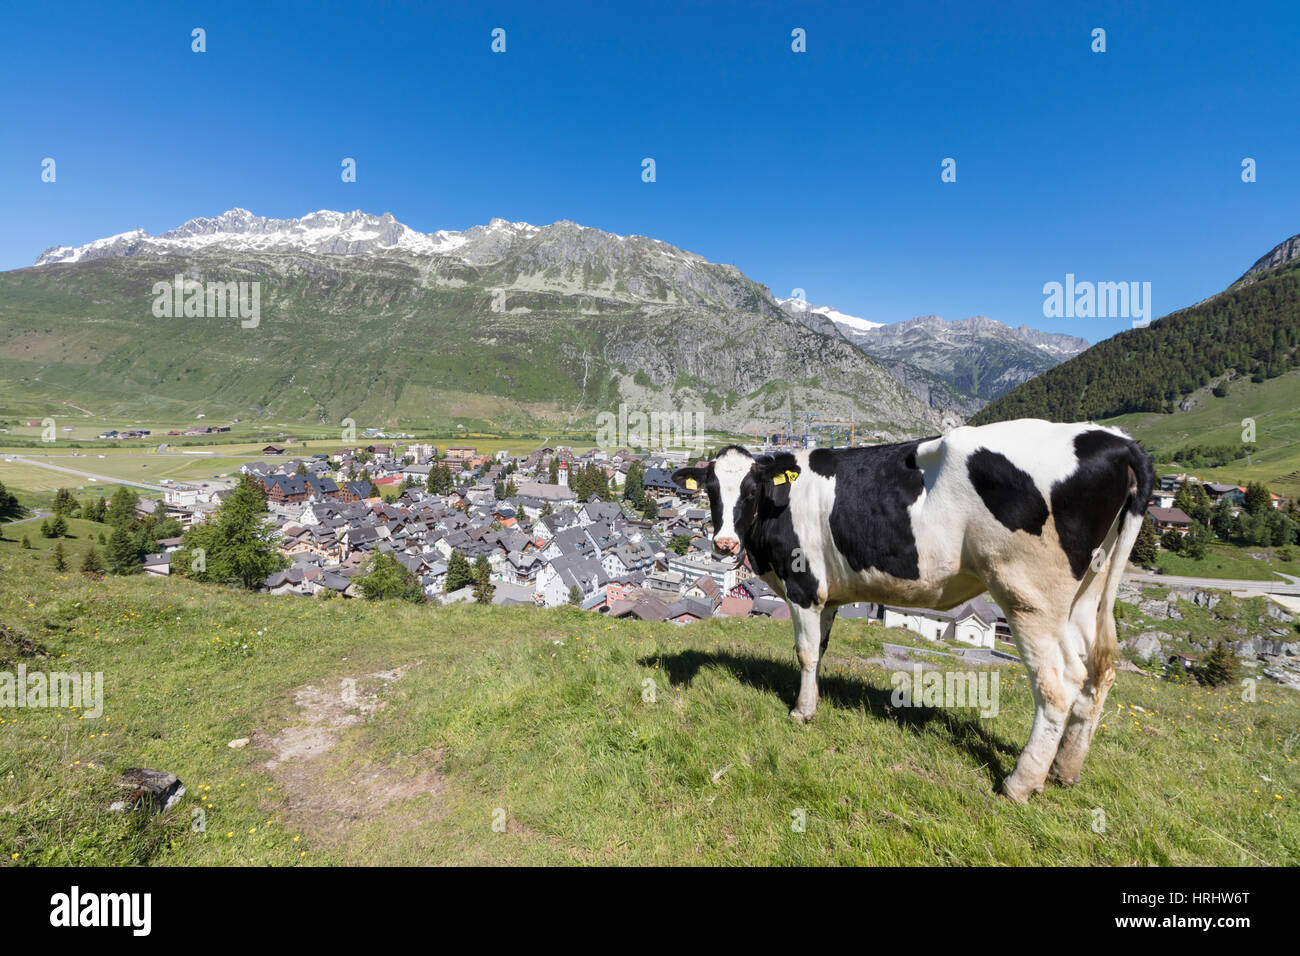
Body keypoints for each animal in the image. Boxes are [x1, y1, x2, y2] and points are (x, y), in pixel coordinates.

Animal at [671, 419, 1154, 802]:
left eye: (751, 490)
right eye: (711, 491)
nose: (724, 543)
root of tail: (1116, 440)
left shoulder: (805, 587)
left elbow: (805, 653)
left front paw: (801, 712)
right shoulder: (830, 594)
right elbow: (821, 651)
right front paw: (814, 702)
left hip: (1030, 596)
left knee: (1058, 685)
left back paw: (1020, 783)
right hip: (1087, 593)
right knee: (1096, 673)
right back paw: (1065, 769)